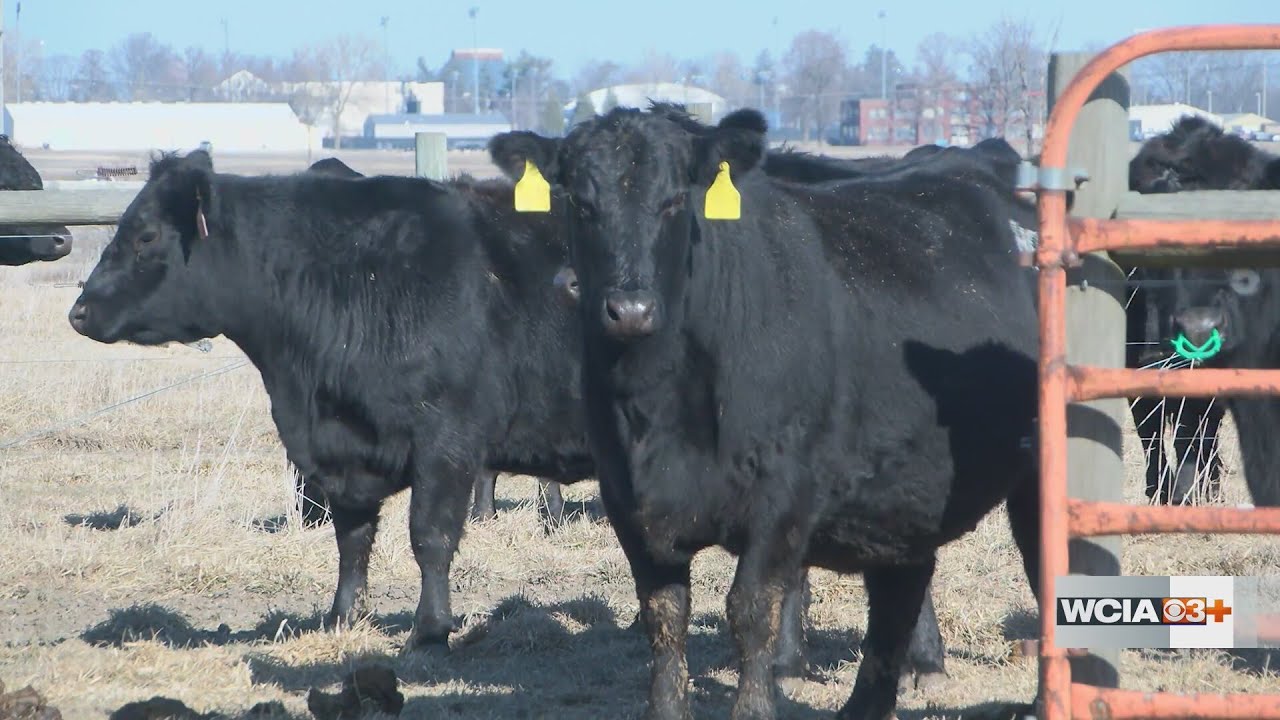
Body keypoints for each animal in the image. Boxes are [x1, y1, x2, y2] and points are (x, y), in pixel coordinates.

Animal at [489, 107, 1041, 720]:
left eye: (676, 200)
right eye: (580, 203)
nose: (630, 310)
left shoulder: (783, 496)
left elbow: (751, 610)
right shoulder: (629, 500)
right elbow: (664, 616)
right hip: (903, 492)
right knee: (898, 597)